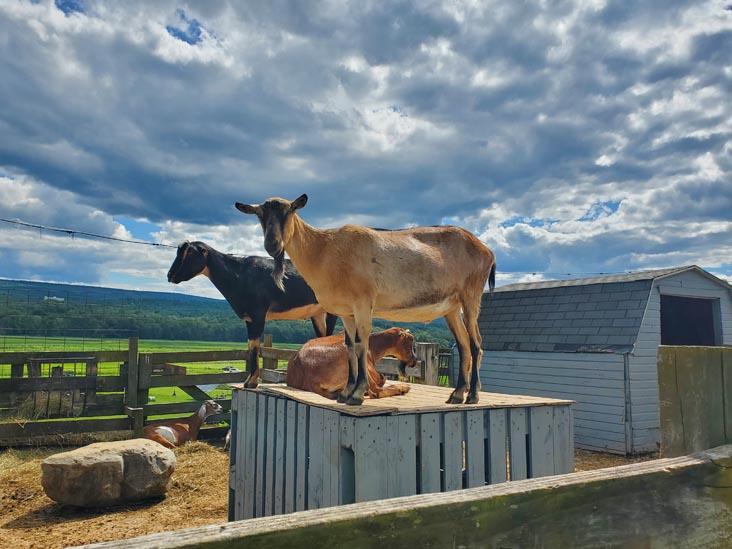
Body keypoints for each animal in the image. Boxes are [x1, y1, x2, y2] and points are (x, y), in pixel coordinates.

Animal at [167, 240, 337, 388]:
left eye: (190, 253)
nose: (170, 275)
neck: (239, 274)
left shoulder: (258, 314)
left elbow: (255, 346)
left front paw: (251, 382)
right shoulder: (249, 318)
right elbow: (250, 345)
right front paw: (249, 381)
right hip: (318, 313)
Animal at [287, 327, 415, 400]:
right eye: (410, 344)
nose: (414, 360)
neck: (372, 345)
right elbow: (381, 380)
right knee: (375, 391)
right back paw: (403, 388)